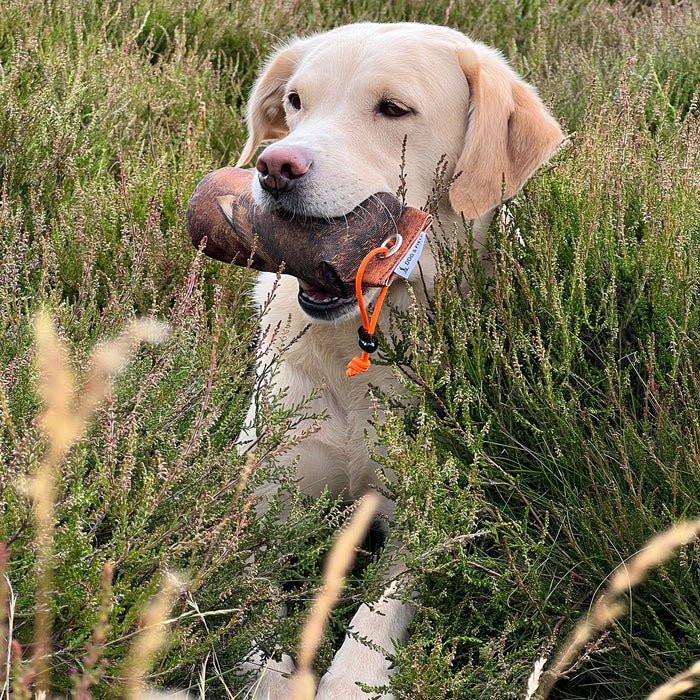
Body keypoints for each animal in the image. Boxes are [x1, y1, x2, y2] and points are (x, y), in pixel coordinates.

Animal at [235, 21, 564, 700]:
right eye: (297, 102)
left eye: (393, 109)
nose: (275, 166)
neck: (360, 348)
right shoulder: (264, 499)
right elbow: (256, 605)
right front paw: (271, 675)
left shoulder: (429, 514)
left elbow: (377, 612)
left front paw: (347, 679)